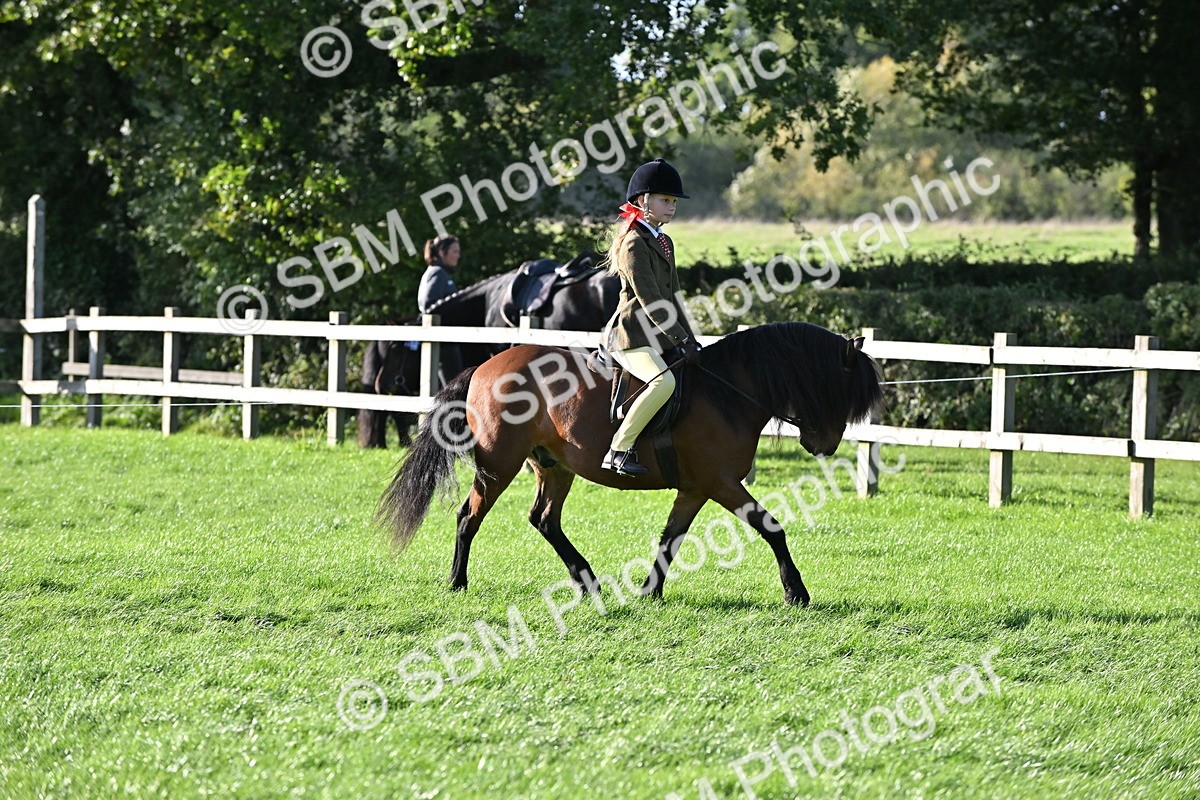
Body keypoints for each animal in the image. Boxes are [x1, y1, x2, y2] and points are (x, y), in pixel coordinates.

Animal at [376, 322, 885, 606]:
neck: (729, 392)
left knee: (544, 520)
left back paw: (588, 583)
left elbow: (670, 539)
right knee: (470, 516)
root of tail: (485, 365)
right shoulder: (721, 483)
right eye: (838, 386)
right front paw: (796, 592)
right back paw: (457, 583)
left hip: (553, 467)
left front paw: (649, 592)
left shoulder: (696, 488)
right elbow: (771, 527)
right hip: (498, 465)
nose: (826, 445)